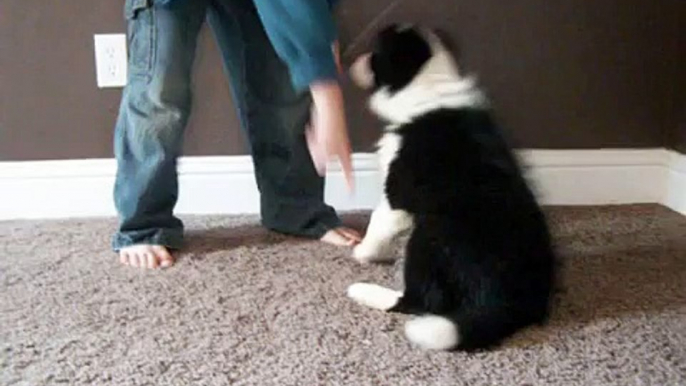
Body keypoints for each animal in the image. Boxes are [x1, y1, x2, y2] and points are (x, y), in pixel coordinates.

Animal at [346, 22, 556, 352]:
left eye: (375, 50)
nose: (348, 64)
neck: (429, 86)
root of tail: (508, 304)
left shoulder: (398, 195)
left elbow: (377, 222)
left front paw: (364, 253)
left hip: (427, 238)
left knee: (418, 301)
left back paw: (364, 291)